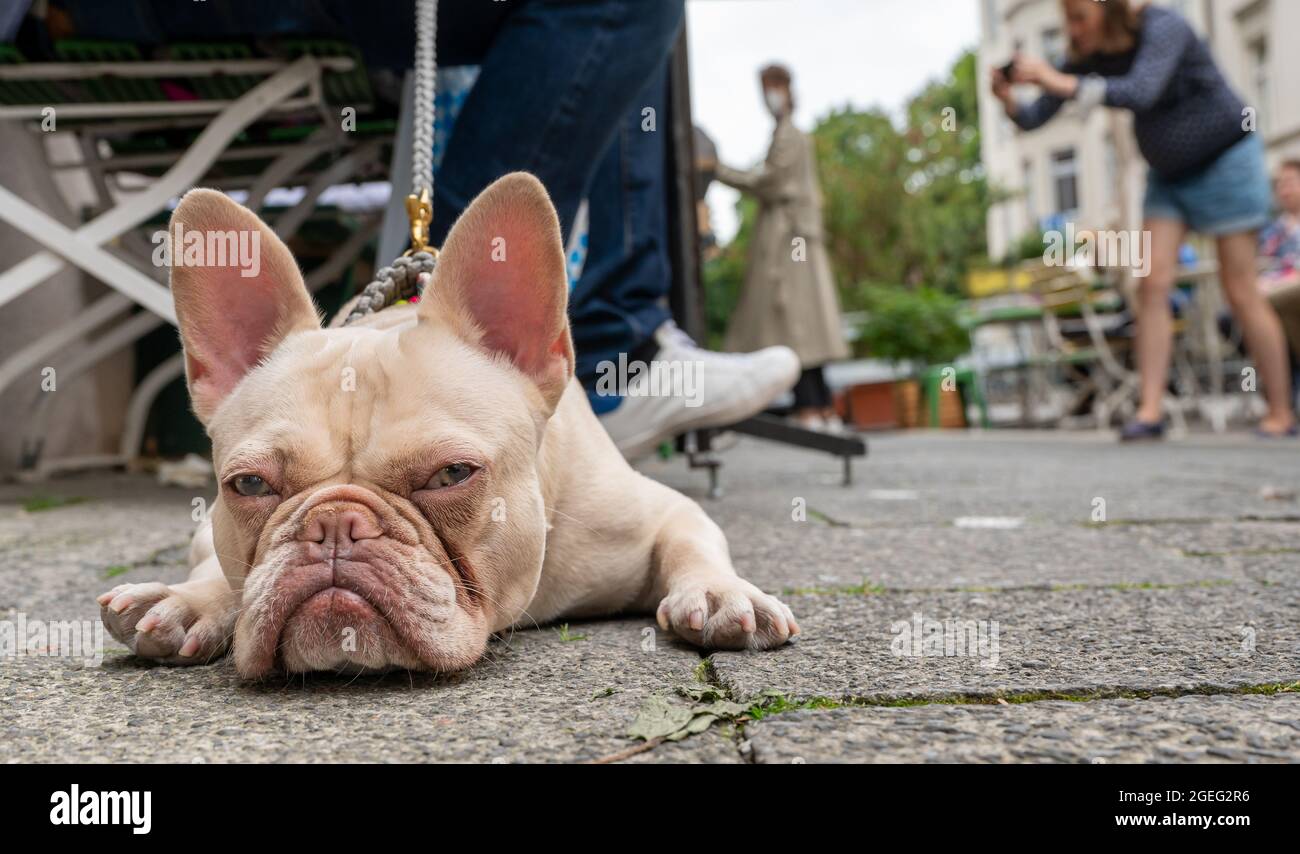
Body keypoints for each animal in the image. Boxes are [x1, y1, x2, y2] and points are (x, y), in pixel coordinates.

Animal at [96, 175, 795, 681]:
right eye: (248, 486)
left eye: (452, 475)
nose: (334, 525)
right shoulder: (206, 529)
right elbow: (218, 567)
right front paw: (188, 600)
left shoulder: (658, 511)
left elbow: (693, 541)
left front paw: (720, 594)